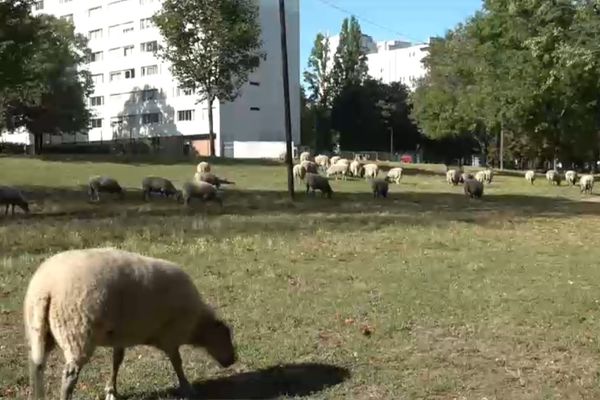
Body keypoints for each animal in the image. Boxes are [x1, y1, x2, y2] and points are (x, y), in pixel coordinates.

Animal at [25, 247, 237, 400]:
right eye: (226, 336)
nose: (232, 360)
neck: (197, 325)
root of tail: (45, 287)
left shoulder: (121, 335)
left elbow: (117, 361)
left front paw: (111, 390)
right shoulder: (170, 335)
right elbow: (177, 362)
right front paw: (186, 387)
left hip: (41, 331)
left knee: (36, 367)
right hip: (76, 332)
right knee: (69, 374)